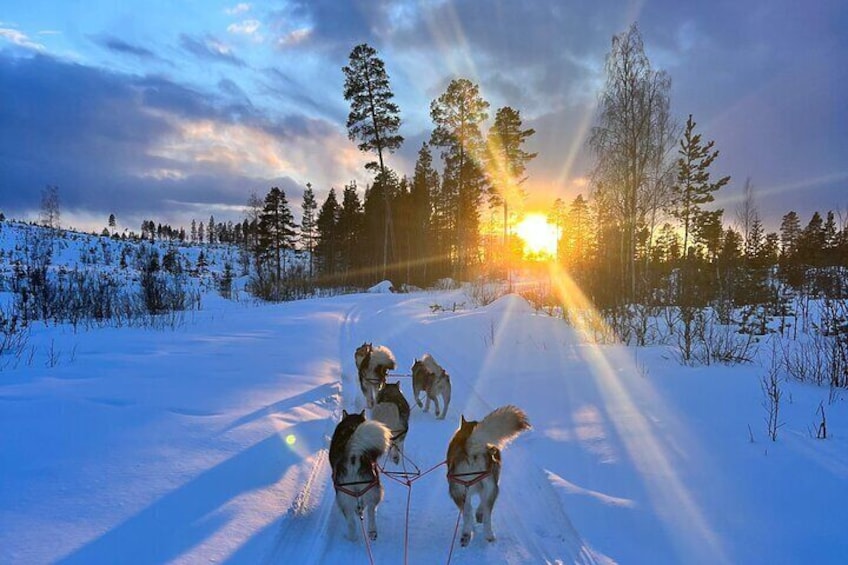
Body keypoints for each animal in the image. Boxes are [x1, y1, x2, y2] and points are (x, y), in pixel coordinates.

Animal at [328, 408, 390, 540]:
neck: (352, 424)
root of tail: (354, 454)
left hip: (344, 496)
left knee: (353, 519)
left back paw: (352, 537)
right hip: (369, 488)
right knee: (370, 510)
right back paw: (371, 531)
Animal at [444, 406, 528, 548]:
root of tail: (471, 449)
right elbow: (480, 506)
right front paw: (478, 517)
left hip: (457, 491)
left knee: (468, 513)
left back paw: (467, 532)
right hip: (488, 489)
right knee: (486, 513)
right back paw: (486, 535)